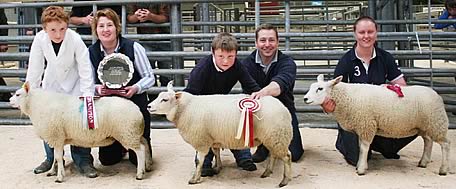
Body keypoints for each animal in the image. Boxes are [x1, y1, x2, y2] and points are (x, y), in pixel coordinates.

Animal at [9, 83, 152, 182]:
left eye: (18, 94)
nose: (9, 101)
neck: (36, 105)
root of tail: (137, 109)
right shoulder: (57, 139)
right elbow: (55, 157)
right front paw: (52, 172)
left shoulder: (57, 136)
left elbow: (58, 158)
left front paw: (59, 177)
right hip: (134, 133)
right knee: (145, 144)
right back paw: (148, 166)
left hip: (127, 133)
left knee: (140, 151)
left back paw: (140, 174)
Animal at [148, 83, 294, 188]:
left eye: (165, 99)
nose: (149, 106)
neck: (185, 109)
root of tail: (284, 108)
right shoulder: (213, 138)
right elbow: (216, 152)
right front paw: (217, 168)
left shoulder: (201, 141)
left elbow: (199, 161)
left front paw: (195, 179)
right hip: (273, 136)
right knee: (274, 154)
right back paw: (267, 172)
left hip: (277, 135)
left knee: (287, 157)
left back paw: (285, 180)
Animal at [304, 74, 450, 176]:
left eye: (320, 89)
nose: (305, 99)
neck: (347, 97)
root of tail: (437, 95)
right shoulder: (362, 127)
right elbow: (360, 147)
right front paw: (361, 165)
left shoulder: (366, 124)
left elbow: (364, 148)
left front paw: (361, 169)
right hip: (425, 125)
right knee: (428, 141)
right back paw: (423, 162)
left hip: (436, 122)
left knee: (445, 144)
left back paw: (443, 169)